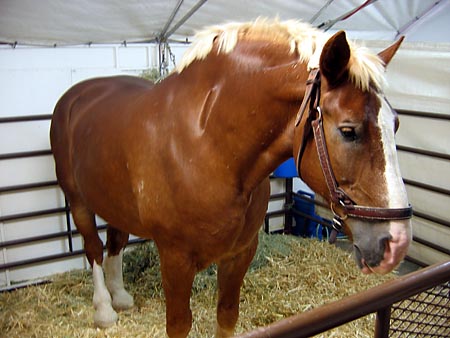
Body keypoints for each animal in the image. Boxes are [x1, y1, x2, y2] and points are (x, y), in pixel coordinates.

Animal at [49, 19, 412, 338]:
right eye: (349, 131)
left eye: (395, 124)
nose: (396, 242)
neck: (207, 144)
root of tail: (75, 97)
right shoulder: (175, 261)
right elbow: (178, 324)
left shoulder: (239, 256)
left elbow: (226, 316)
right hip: (78, 202)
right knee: (94, 248)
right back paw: (104, 309)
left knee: (116, 241)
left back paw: (120, 296)